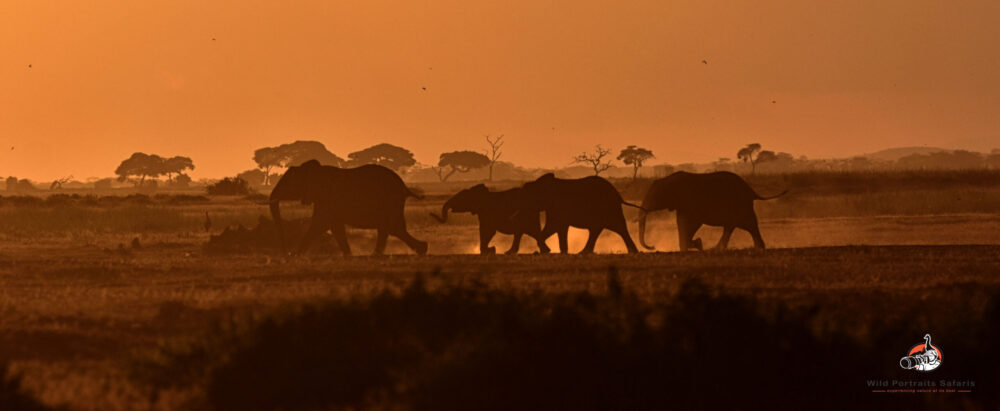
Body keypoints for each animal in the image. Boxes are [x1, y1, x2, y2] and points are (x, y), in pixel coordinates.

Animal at [268, 159, 428, 256]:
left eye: (288, 183)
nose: (285, 254)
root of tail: (404, 187)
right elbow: (331, 226)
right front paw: (348, 255)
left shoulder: (327, 198)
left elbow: (320, 225)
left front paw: (295, 256)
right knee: (391, 229)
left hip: (390, 201)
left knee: (394, 228)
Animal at [636, 171, 784, 251]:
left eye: (653, 197)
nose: (653, 246)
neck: (667, 179)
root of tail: (751, 190)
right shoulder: (682, 205)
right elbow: (681, 222)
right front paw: (691, 246)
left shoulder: (691, 201)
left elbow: (692, 223)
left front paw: (697, 244)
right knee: (734, 226)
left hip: (741, 204)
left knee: (748, 224)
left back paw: (759, 248)